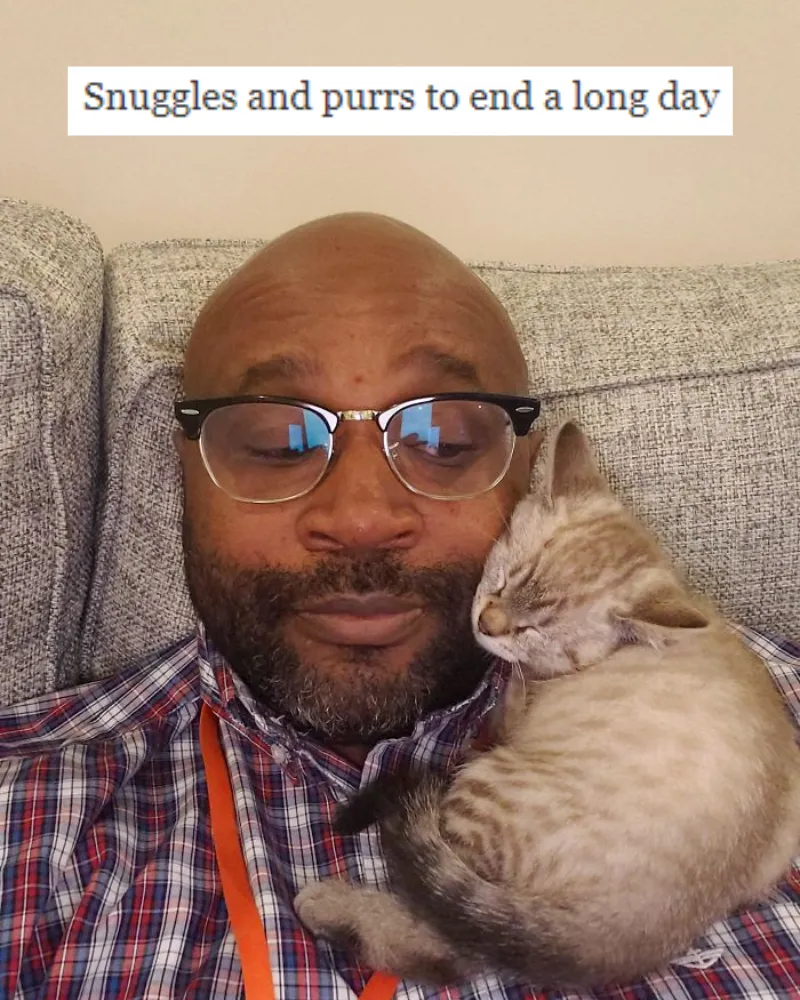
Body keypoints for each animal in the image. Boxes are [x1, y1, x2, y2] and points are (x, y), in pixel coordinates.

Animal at [294, 419, 800, 988]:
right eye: (501, 578)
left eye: (535, 628)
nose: (486, 624)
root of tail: (636, 936)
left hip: (491, 793)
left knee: (453, 942)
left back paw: (330, 907)